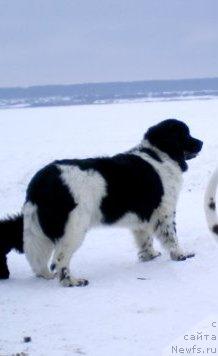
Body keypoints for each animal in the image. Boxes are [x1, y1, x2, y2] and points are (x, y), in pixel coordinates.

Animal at [0, 119, 203, 286]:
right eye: (185, 134)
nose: (201, 142)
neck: (159, 154)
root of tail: (40, 182)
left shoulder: (142, 217)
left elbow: (145, 239)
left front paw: (149, 256)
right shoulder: (165, 211)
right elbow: (171, 237)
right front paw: (181, 255)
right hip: (73, 228)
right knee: (59, 259)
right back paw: (72, 281)